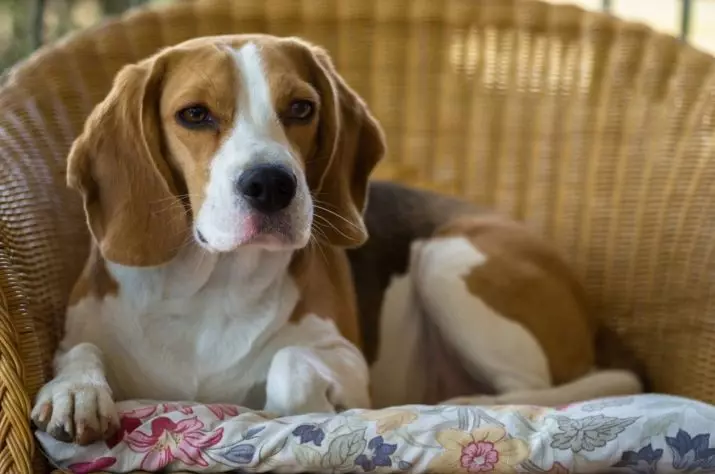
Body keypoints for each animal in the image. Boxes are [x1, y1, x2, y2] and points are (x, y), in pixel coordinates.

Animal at [30, 33, 640, 444]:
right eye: (194, 114)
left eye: (302, 107)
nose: (270, 184)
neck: (211, 285)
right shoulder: (84, 329)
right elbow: (78, 352)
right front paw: (75, 393)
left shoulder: (347, 363)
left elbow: (291, 364)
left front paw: (307, 410)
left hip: (446, 257)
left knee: (535, 391)